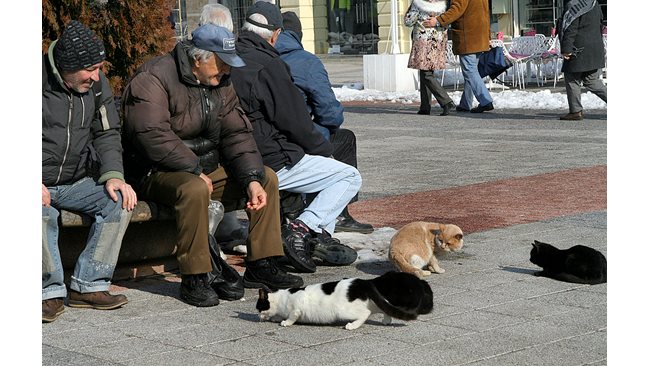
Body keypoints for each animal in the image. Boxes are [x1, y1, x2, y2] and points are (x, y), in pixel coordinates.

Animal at [256, 270, 432, 330]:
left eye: (258, 307)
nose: (257, 316)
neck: (282, 297)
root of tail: (364, 282)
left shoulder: (297, 308)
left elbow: (292, 316)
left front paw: (285, 322)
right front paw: (276, 317)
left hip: (343, 310)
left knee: (365, 313)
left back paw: (352, 326)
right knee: (382, 308)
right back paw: (386, 320)